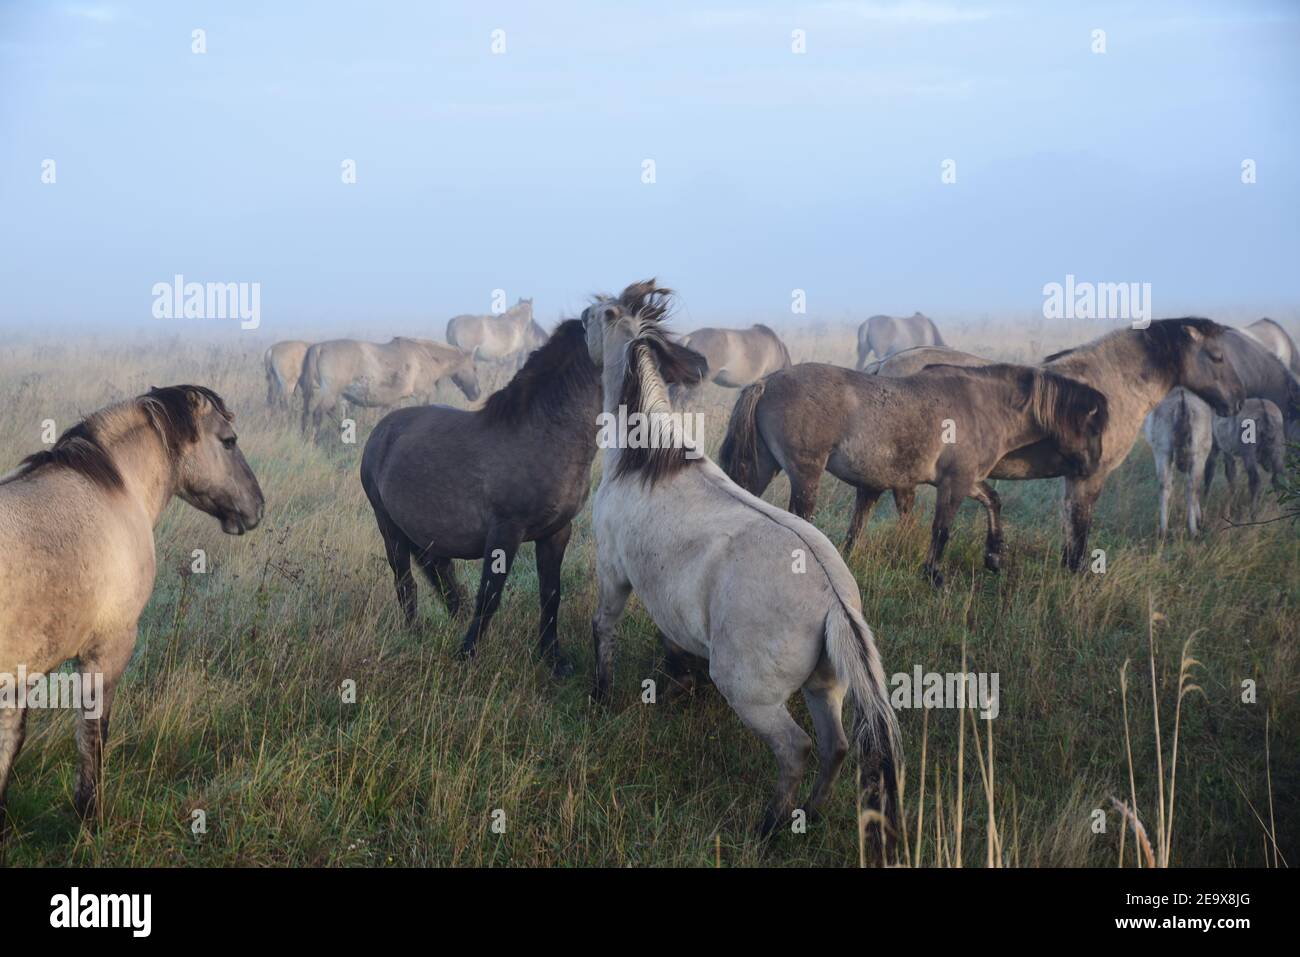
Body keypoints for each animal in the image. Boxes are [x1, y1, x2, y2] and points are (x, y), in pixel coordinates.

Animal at [0, 384, 263, 847]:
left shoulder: (18, 674)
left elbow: (8, 745)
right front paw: (89, 816)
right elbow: (92, 735)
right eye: (229, 441)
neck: (111, 489)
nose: (258, 506)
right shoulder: (108, 650)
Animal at [297, 335, 480, 436]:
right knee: (318, 414)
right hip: (331, 393)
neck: (426, 356)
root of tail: (319, 347)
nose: (477, 393)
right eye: (474, 367)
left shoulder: (394, 401)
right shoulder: (422, 395)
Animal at [356, 317, 598, 676]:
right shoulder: (505, 533)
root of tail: (381, 431)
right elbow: (489, 595)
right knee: (406, 583)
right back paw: (415, 633)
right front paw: (467, 654)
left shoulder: (557, 532)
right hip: (389, 529)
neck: (545, 435)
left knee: (441, 575)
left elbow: (551, 594)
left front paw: (554, 659)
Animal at [585, 280, 899, 847]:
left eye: (598, 314)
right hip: (825, 687)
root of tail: (834, 603)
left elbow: (605, 627)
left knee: (795, 749)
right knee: (836, 746)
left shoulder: (612, 570)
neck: (646, 459)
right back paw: (807, 814)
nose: (577, 324)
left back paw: (769, 826)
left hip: (752, 695)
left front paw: (600, 693)